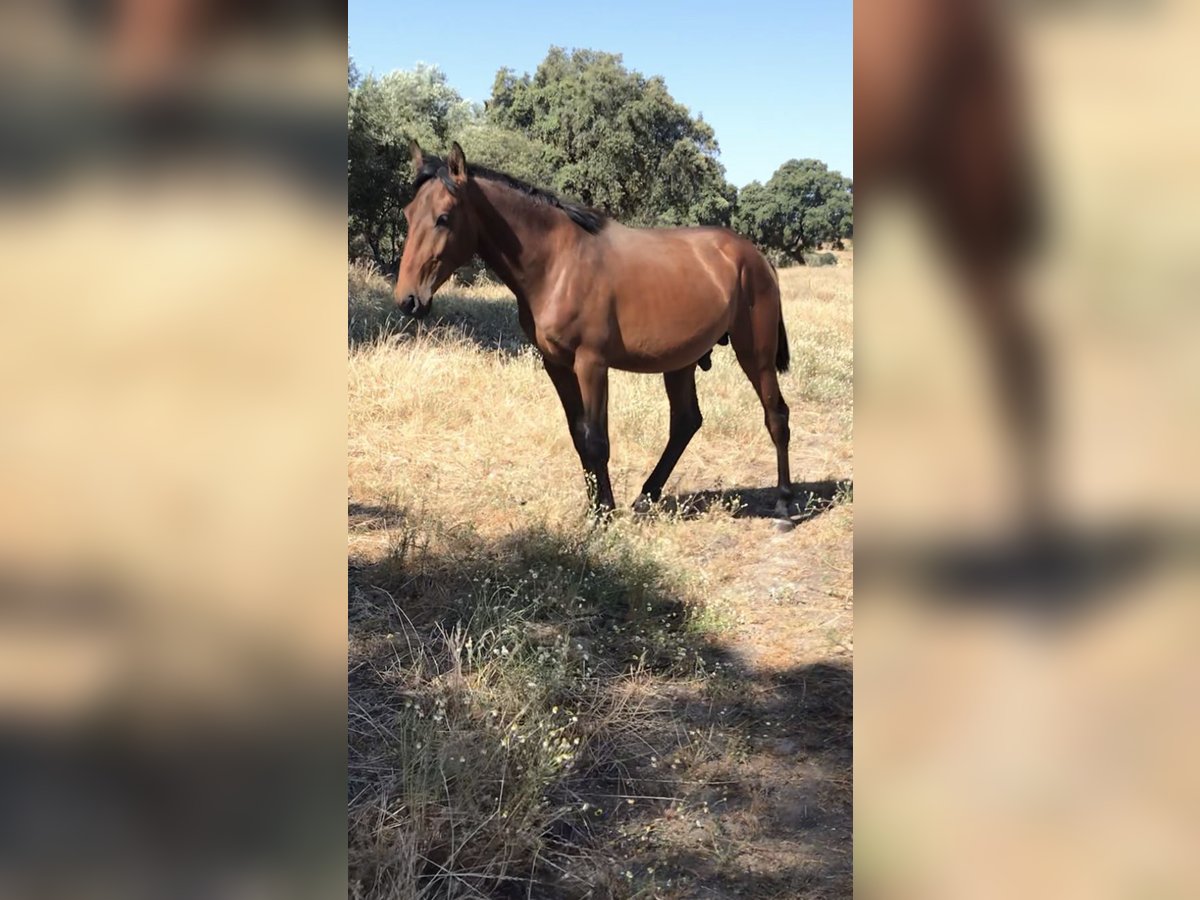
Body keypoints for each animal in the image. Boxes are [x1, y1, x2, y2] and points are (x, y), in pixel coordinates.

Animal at [388, 141, 796, 520]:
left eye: (443, 217)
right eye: (408, 213)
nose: (408, 299)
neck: (559, 263)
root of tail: (756, 257)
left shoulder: (592, 365)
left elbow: (598, 440)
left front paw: (604, 515)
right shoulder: (556, 364)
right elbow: (579, 436)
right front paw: (595, 509)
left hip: (755, 354)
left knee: (776, 414)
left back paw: (783, 504)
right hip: (680, 361)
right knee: (685, 423)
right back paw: (646, 498)